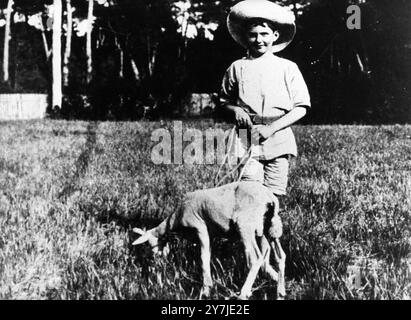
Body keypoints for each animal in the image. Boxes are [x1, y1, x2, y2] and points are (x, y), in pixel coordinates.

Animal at [134, 181, 286, 298]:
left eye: (151, 244)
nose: (156, 262)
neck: (174, 219)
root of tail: (269, 196)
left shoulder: (200, 227)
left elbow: (204, 257)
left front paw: (206, 289)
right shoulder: (210, 234)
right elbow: (208, 254)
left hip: (245, 225)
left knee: (255, 258)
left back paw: (243, 293)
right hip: (270, 226)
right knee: (280, 256)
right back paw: (281, 292)